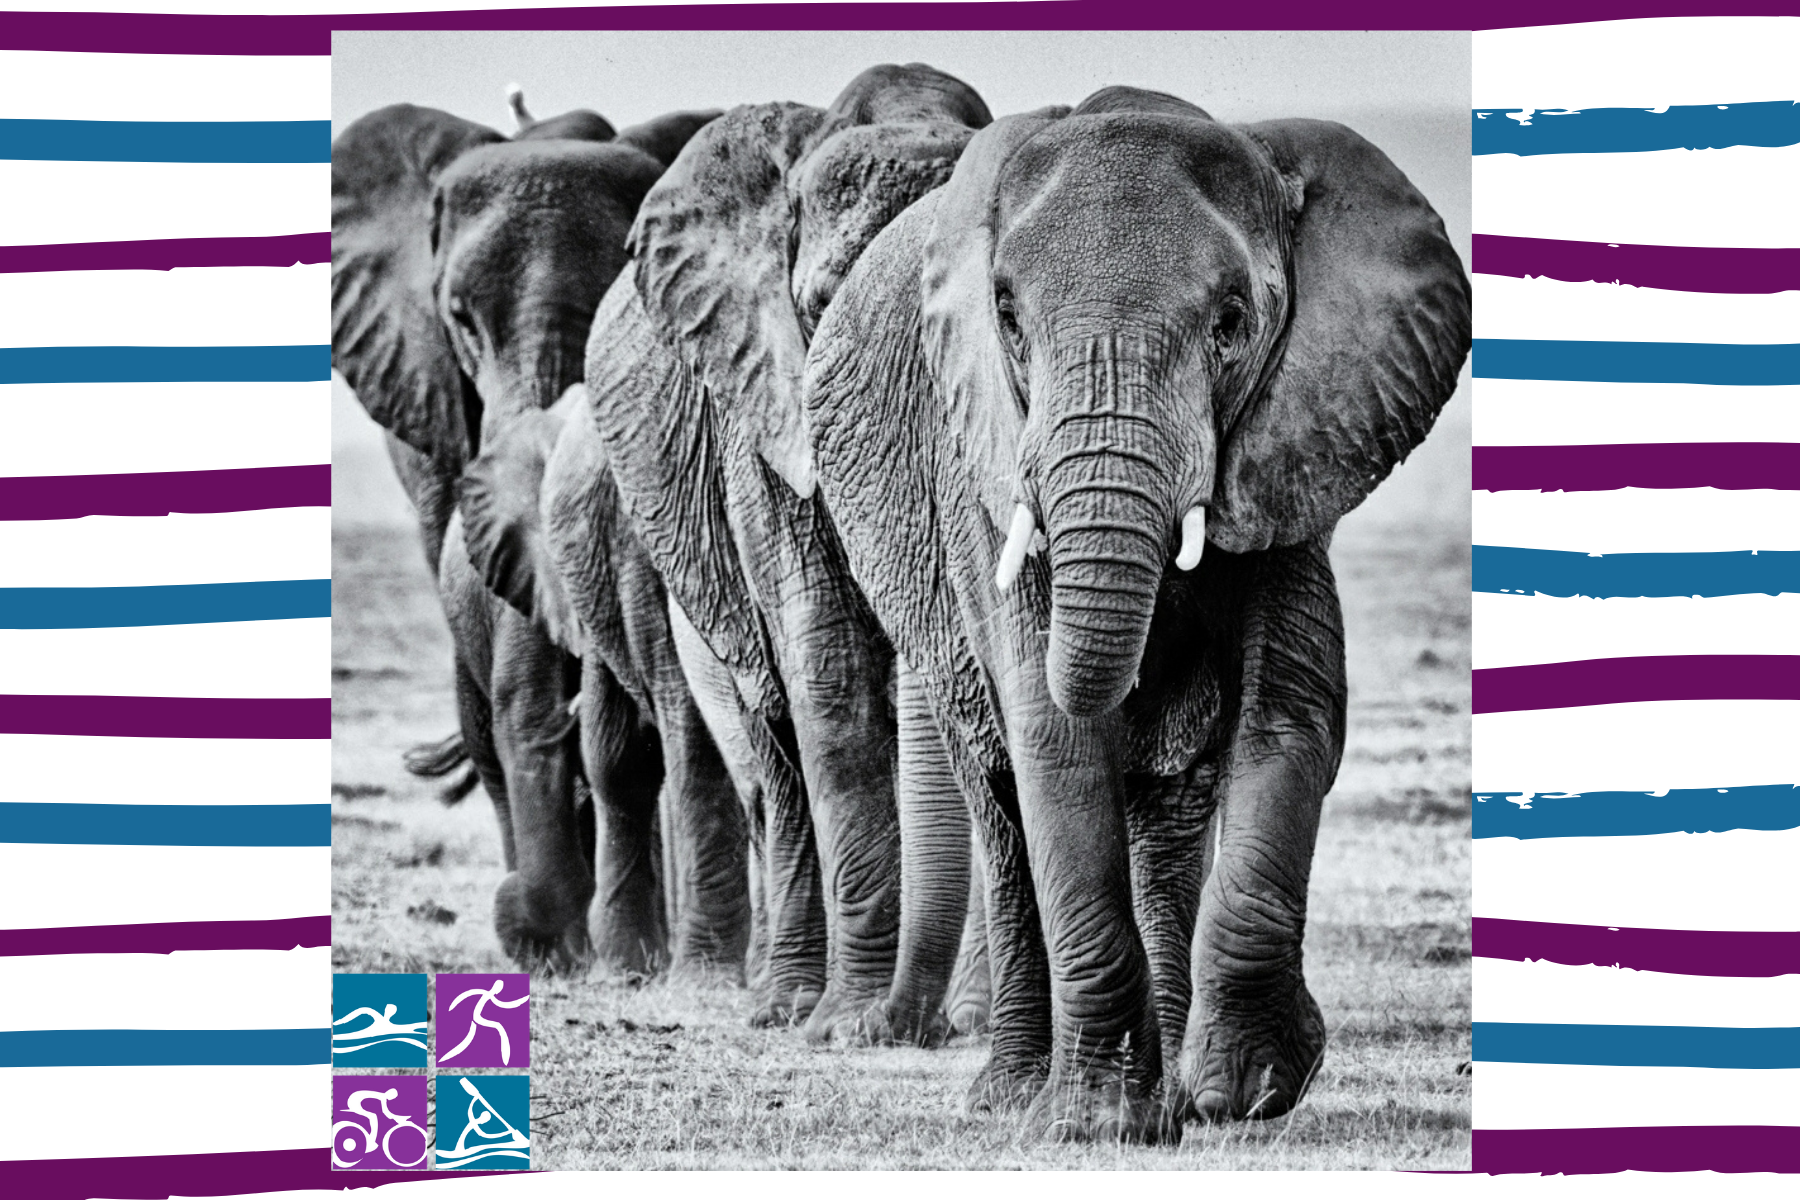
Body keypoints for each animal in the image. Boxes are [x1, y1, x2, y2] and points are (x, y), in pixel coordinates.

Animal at [573, 63, 994, 1038]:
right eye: (820, 312)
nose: (903, 1026)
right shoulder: (760, 422)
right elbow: (827, 667)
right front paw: (844, 1023)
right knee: (774, 756)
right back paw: (786, 1002)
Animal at [801, 87, 1470, 1138]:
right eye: (1007, 318)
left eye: (1232, 322)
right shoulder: (985, 463)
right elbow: (1053, 738)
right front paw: (1094, 1123)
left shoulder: (1296, 441)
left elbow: (1292, 714)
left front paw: (1248, 1090)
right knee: (1001, 799)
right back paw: (1012, 1095)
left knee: (1167, 813)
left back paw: (1179, 1096)